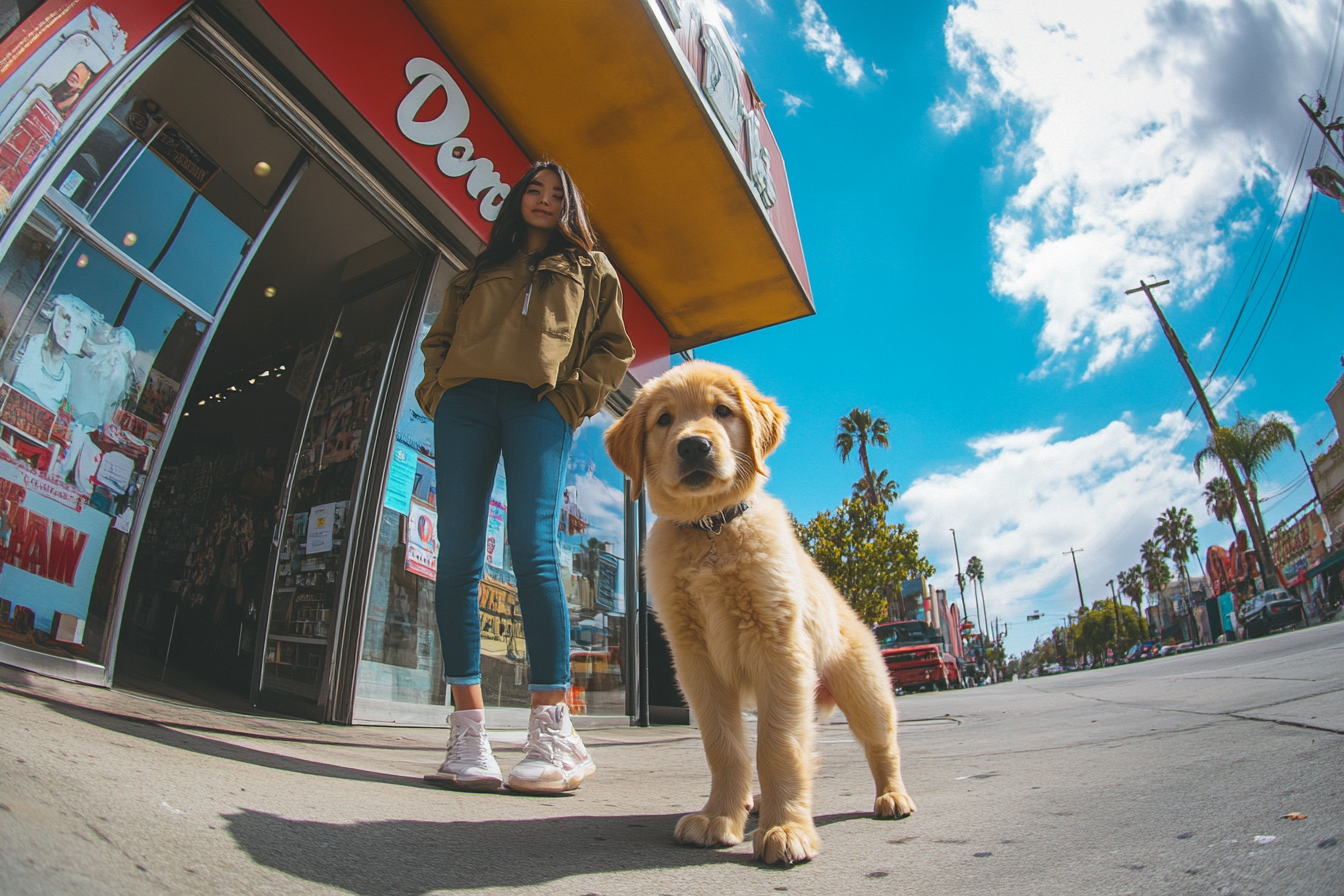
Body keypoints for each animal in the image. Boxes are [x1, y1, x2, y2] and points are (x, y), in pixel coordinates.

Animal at [607, 360, 913, 865]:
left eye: (722, 411)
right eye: (664, 420)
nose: (694, 445)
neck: (710, 527)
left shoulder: (779, 649)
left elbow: (778, 745)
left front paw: (786, 829)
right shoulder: (698, 663)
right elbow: (725, 746)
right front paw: (719, 818)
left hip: (865, 690)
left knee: (881, 743)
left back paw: (892, 796)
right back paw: (753, 803)